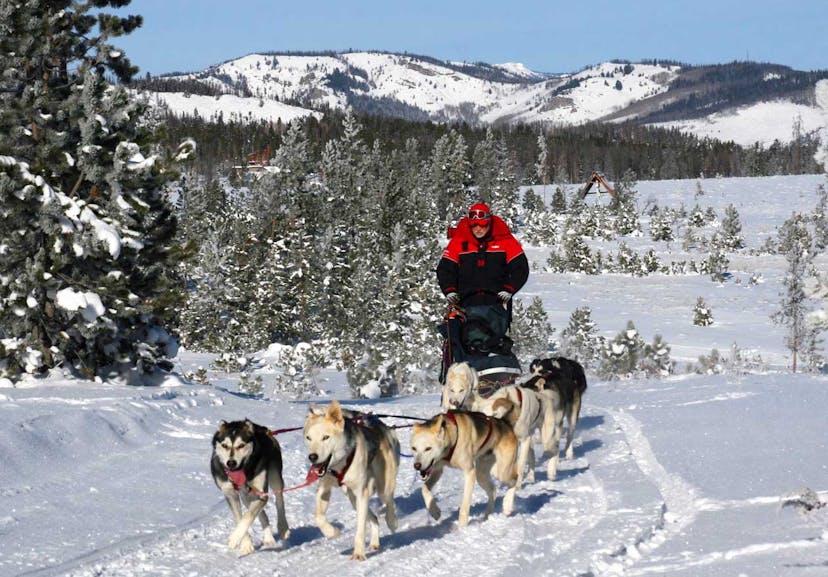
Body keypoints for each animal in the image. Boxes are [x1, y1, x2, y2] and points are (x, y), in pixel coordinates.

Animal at [210, 418, 292, 552]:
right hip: (246, 495)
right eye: (225, 445)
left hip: (275, 478)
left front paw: (234, 538)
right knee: (261, 513)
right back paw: (268, 538)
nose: (231, 463)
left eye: (241, 445)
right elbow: (240, 519)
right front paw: (246, 544)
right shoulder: (230, 494)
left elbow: (248, 516)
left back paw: (283, 527)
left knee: (279, 502)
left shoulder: (261, 493)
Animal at [302, 400, 400, 560]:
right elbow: (318, 517)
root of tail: (380, 427)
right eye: (308, 438)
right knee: (374, 518)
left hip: (382, 487)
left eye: (326, 437)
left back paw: (392, 522)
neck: (340, 463)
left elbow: (360, 529)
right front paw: (332, 532)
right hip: (353, 498)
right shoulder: (324, 489)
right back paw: (374, 541)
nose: (312, 457)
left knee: (389, 501)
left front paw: (358, 553)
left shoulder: (361, 492)